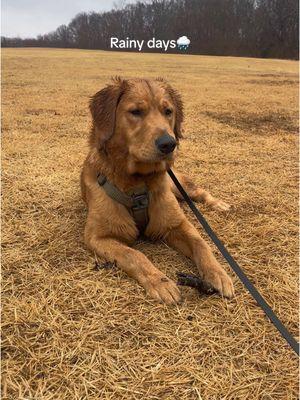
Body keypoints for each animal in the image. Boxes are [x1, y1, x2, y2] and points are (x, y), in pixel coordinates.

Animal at [80, 77, 234, 304]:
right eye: (136, 111)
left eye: (168, 111)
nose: (169, 143)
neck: (138, 183)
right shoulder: (98, 237)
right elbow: (134, 255)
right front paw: (160, 281)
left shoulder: (177, 224)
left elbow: (201, 243)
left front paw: (218, 273)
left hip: (177, 184)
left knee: (197, 192)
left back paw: (218, 204)